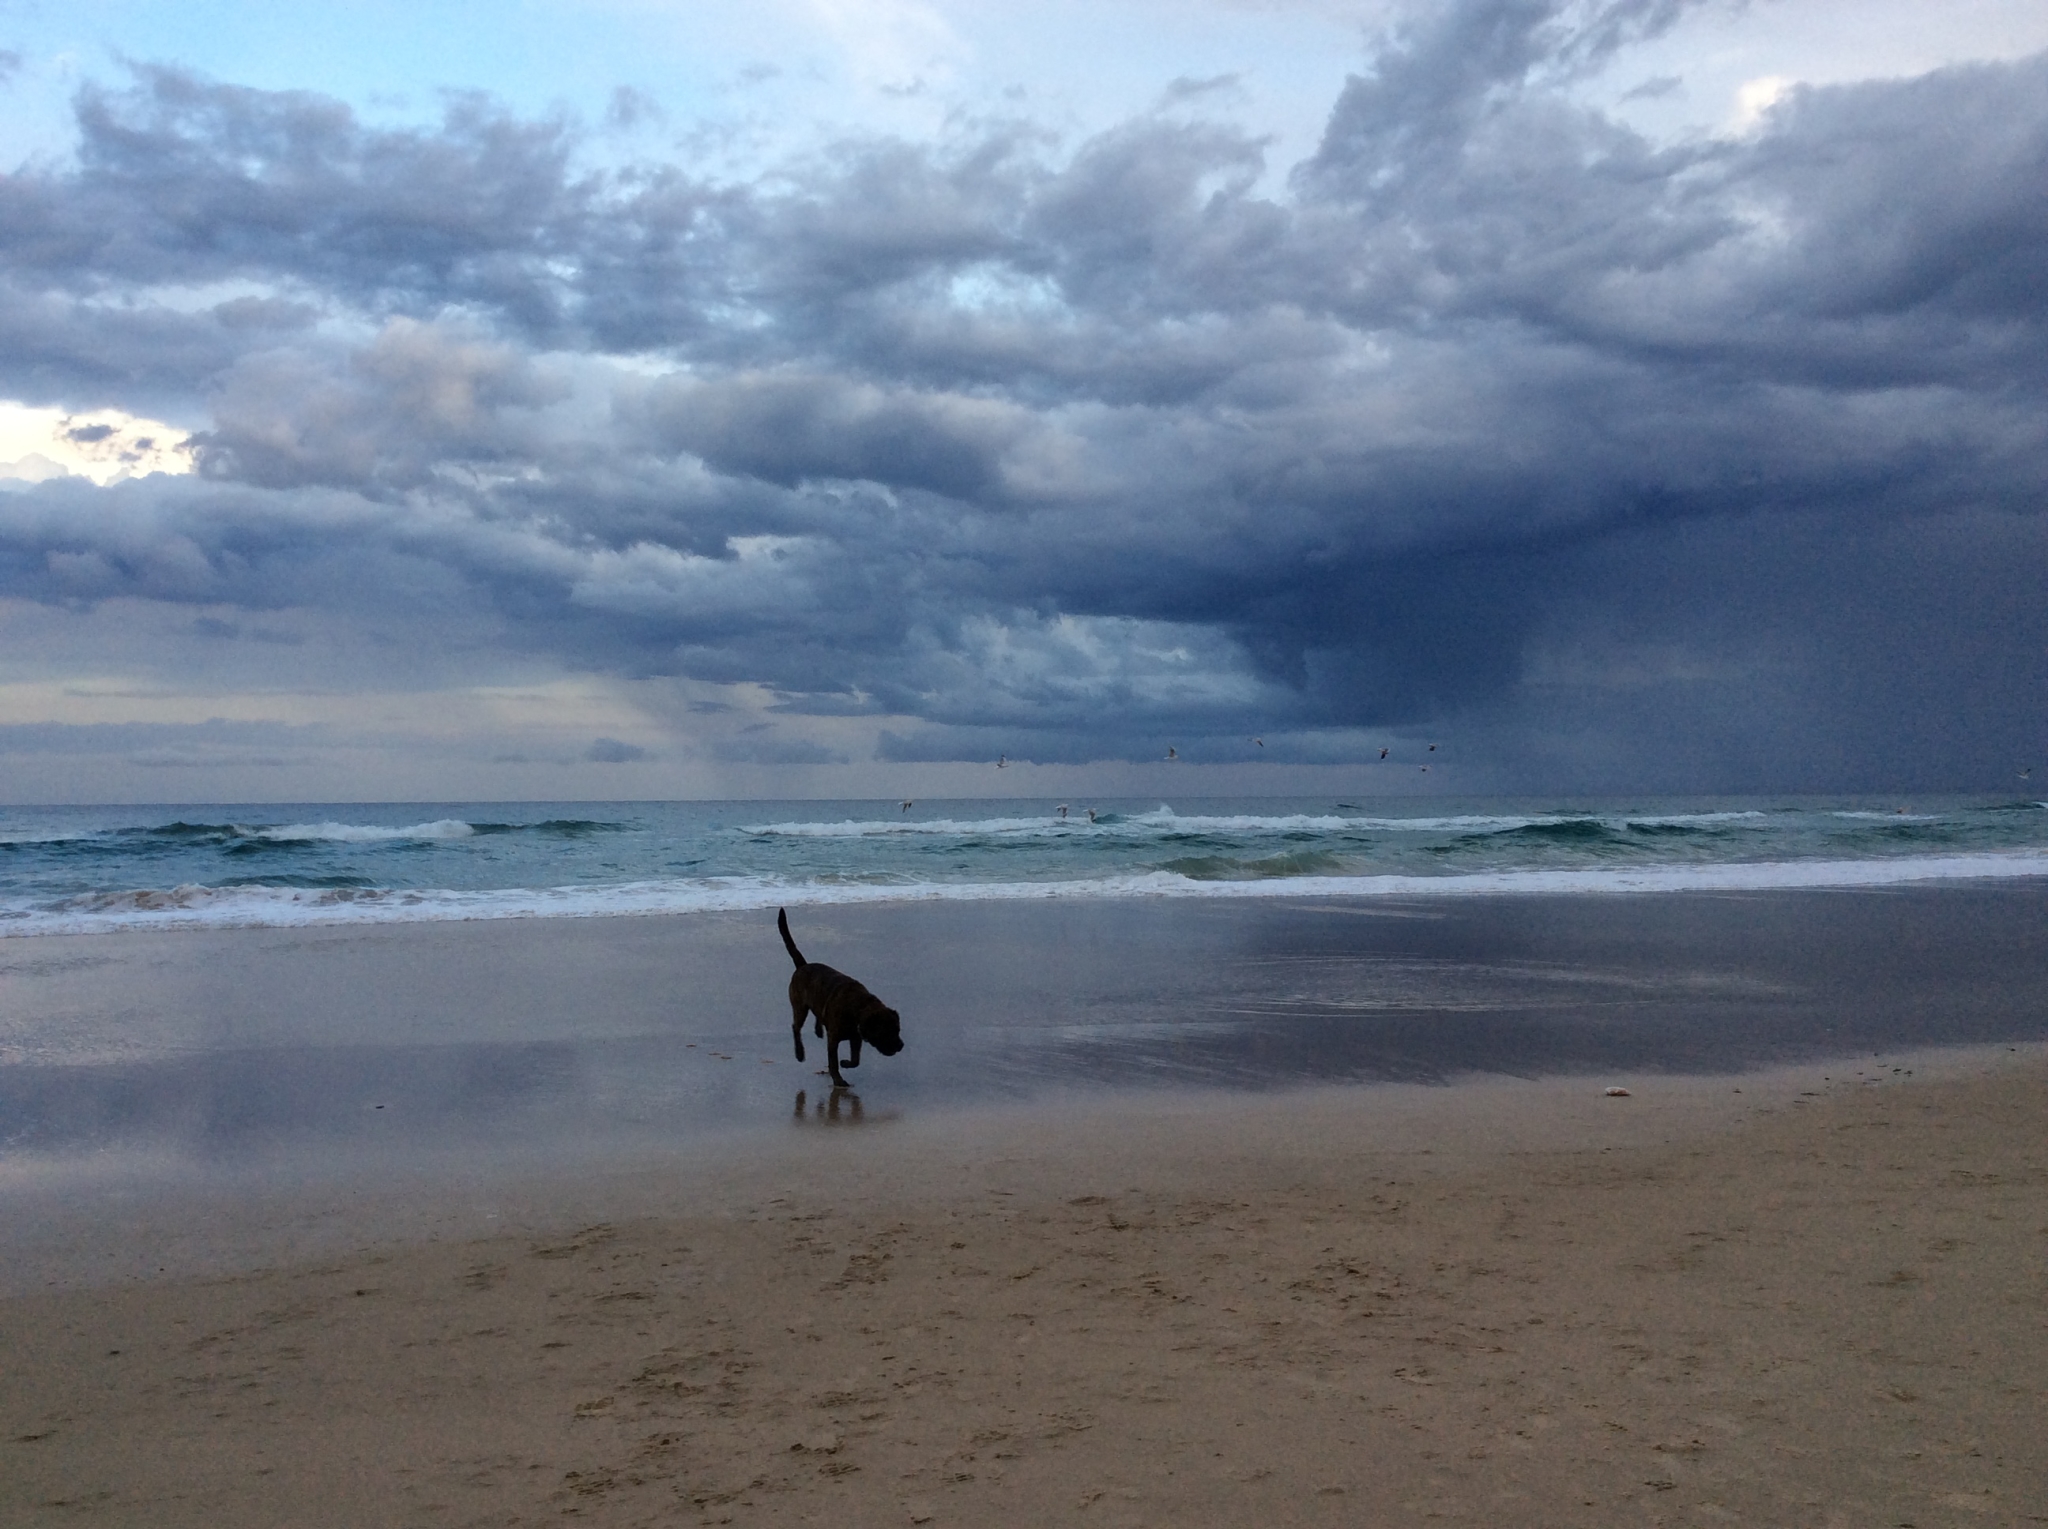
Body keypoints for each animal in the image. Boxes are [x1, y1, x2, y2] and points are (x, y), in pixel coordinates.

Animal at [774, 908, 905, 1088]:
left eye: (898, 1029)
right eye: (888, 1031)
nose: (901, 1045)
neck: (859, 1009)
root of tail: (802, 966)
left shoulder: (856, 1038)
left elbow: (855, 1060)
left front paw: (846, 1063)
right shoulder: (834, 1039)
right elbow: (833, 1062)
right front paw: (838, 1079)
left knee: (817, 1014)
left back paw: (818, 1029)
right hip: (799, 1005)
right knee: (796, 1027)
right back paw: (799, 1053)